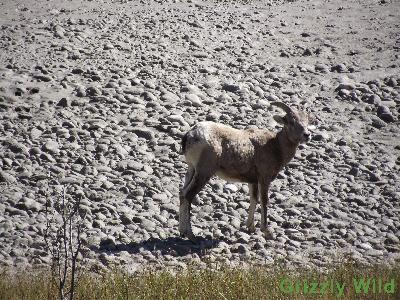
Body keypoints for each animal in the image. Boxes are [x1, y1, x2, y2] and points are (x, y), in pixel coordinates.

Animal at [178, 102, 312, 241]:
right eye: (291, 121)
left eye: (307, 121)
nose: (307, 135)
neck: (276, 146)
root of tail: (190, 135)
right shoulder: (264, 179)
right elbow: (264, 201)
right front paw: (267, 232)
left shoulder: (253, 181)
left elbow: (254, 199)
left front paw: (250, 228)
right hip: (203, 173)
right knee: (188, 196)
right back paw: (191, 235)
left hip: (192, 170)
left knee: (182, 194)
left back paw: (182, 232)